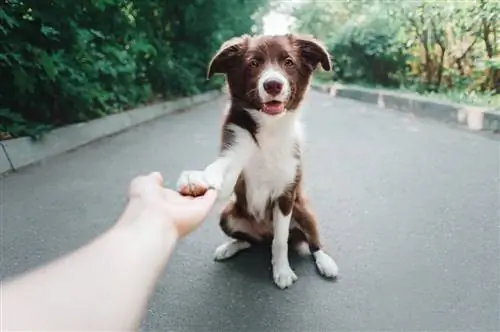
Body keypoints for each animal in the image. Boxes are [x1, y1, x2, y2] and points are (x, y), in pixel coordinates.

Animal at [177, 33, 340, 288]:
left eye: (289, 62)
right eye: (253, 63)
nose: (273, 84)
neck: (269, 130)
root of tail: (263, 233)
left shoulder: (286, 195)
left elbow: (280, 242)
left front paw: (282, 271)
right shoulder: (234, 157)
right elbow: (219, 170)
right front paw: (196, 178)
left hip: (304, 211)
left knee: (312, 242)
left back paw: (326, 262)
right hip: (228, 215)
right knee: (248, 241)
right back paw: (230, 247)